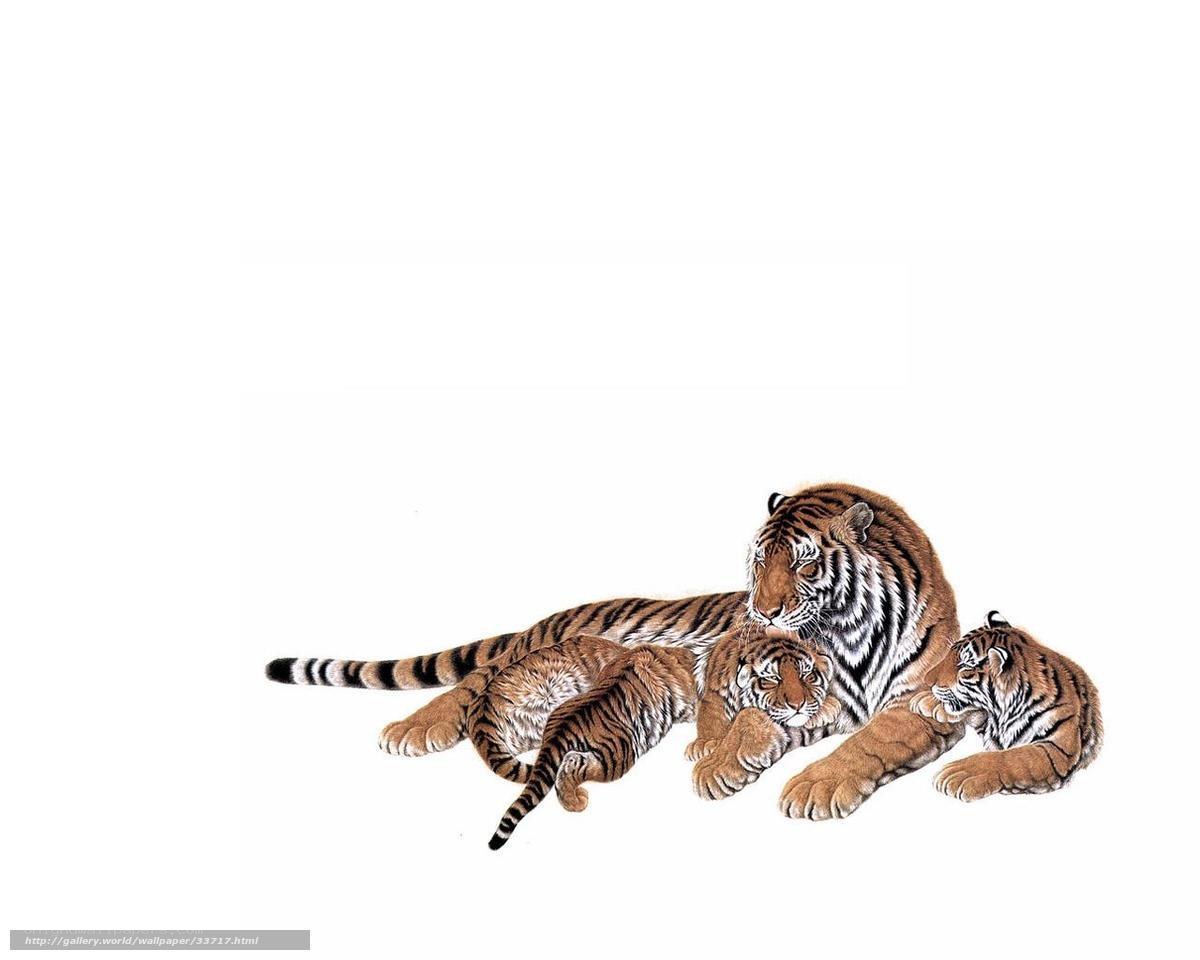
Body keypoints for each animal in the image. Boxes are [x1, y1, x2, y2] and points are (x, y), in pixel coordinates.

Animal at [686, 624, 842, 800]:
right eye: (773, 678)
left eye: (805, 674)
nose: (797, 705)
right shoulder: (715, 693)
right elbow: (712, 717)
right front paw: (706, 746)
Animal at [909, 611, 1103, 801]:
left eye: (964, 667)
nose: (927, 680)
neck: (1004, 712)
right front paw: (925, 700)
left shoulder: (1058, 750)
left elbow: (1011, 757)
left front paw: (958, 774)